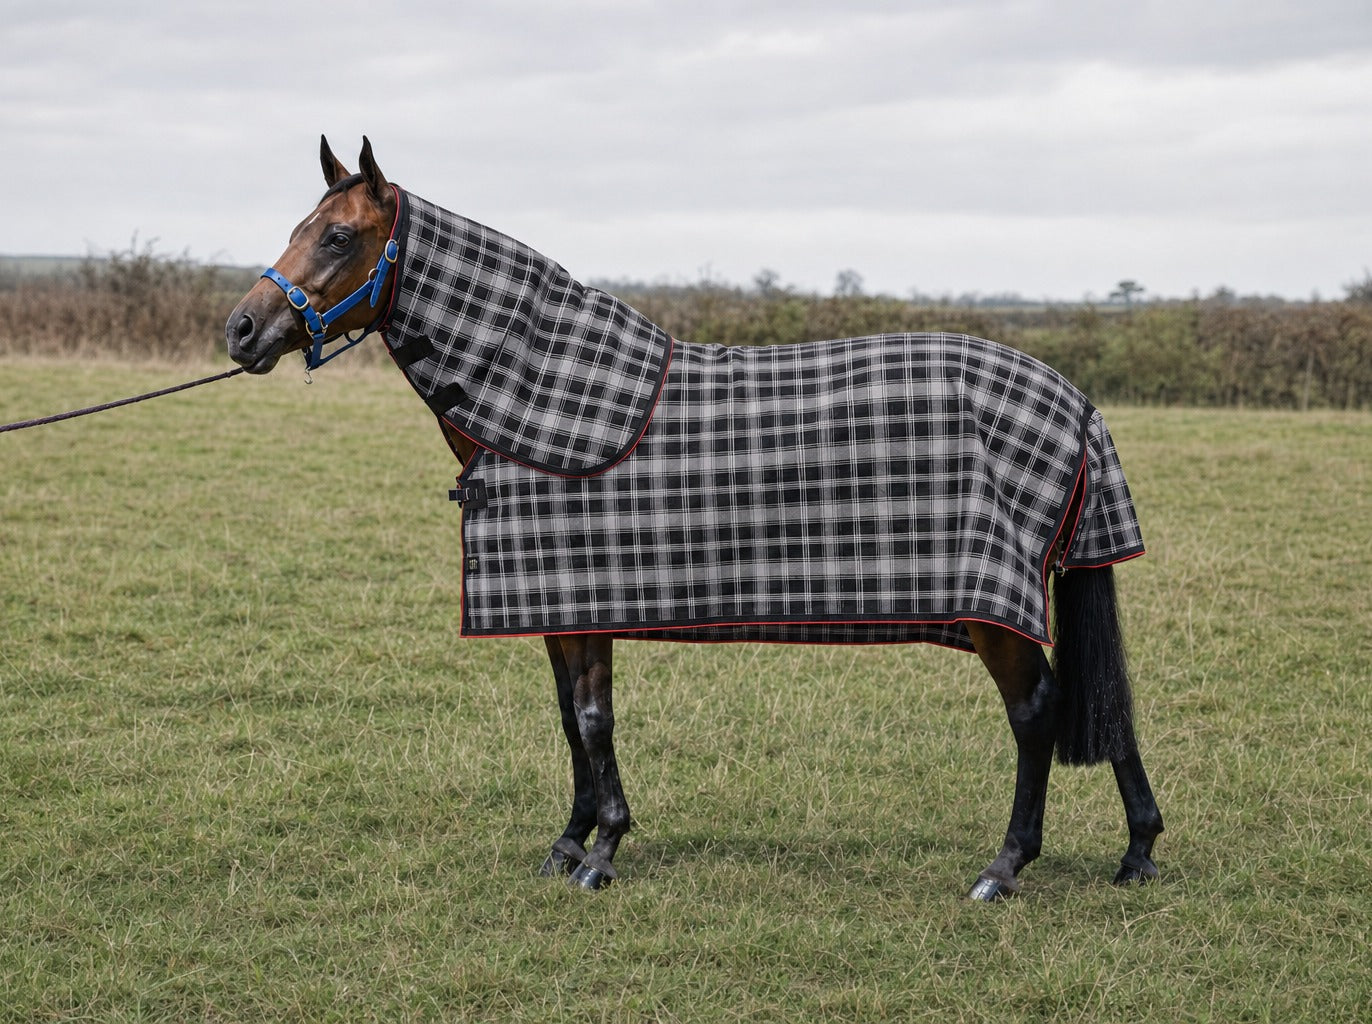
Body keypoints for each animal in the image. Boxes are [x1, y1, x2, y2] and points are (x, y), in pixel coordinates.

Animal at [225, 137, 1163, 899]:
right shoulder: (557, 606)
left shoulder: (586, 600)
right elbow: (569, 720)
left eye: (337, 237)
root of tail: (1072, 400)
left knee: (1037, 710)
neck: (546, 406)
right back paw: (1139, 852)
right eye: (302, 225)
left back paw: (1005, 867)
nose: (241, 330)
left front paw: (603, 852)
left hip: (993, 610)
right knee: (1098, 704)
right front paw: (569, 842)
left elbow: (594, 720)